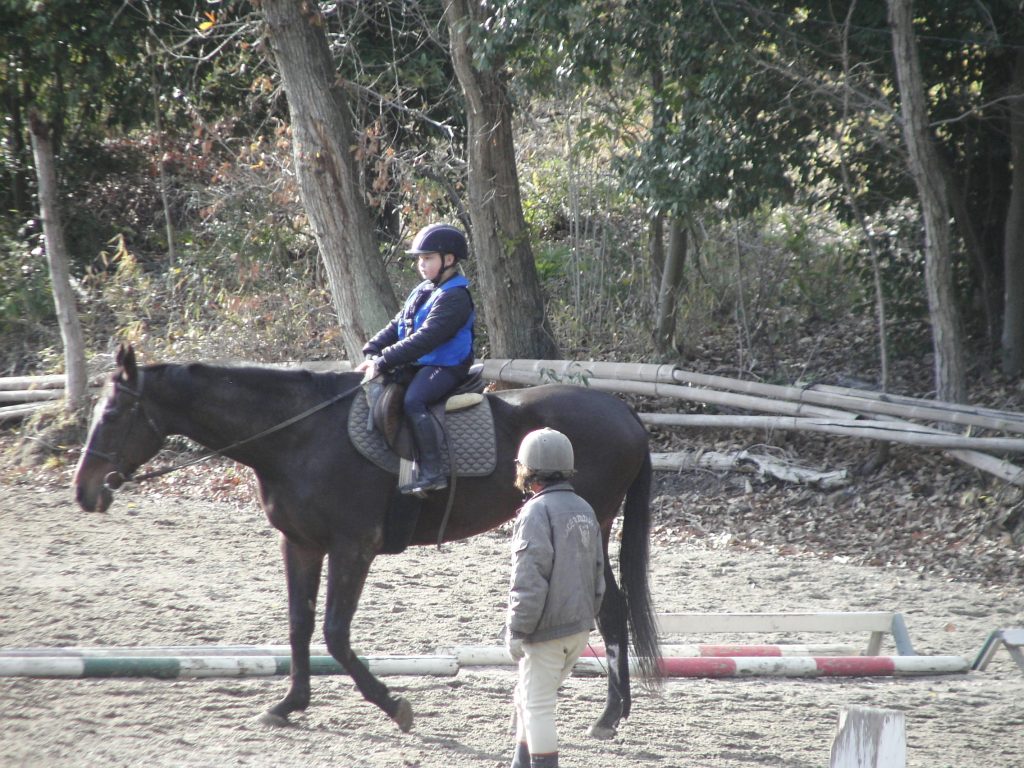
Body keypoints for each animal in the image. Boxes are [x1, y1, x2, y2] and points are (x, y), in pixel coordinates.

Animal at [73, 345, 660, 738]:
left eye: (112, 414)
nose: (84, 491)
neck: (298, 435)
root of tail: (623, 411)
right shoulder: (300, 544)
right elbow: (300, 625)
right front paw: (289, 704)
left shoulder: (352, 546)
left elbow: (334, 634)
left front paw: (393, 705)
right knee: (611, 610)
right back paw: (612, 712)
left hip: (591, 521)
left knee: (611, 610)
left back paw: (609, 716)